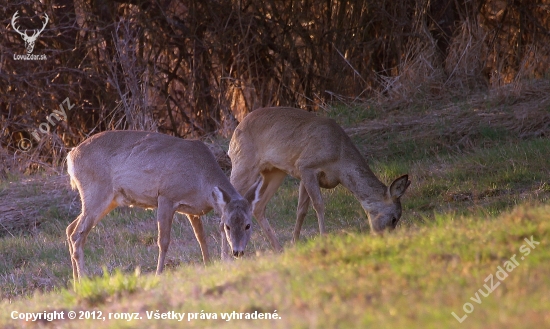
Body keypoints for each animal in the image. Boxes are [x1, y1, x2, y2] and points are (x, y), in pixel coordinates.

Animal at [64, 131, 264, 288]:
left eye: (248, 225)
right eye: (228, 226)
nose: (238, 251)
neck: (202, 179)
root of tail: (70, 157)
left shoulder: (192, 210)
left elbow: (201, 237)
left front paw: (208, 265)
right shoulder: (166, 196)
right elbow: (164, 241)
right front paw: (158, 274)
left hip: (106, 200)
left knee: (70, 228)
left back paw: (76, 283)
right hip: (96, 192)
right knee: (77, 235)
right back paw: (84, 281)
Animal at [226, 106, 412, 250]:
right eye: (394, 218)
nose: (384, 238)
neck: (339, 157)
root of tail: (234, 133)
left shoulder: (302, 173)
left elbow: (301, 209)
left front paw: (294, 243)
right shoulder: (306, 165)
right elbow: (319, 205)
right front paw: (324, 238)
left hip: (274, 171)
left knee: (257, 206)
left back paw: (278, 248)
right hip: (244, 163)